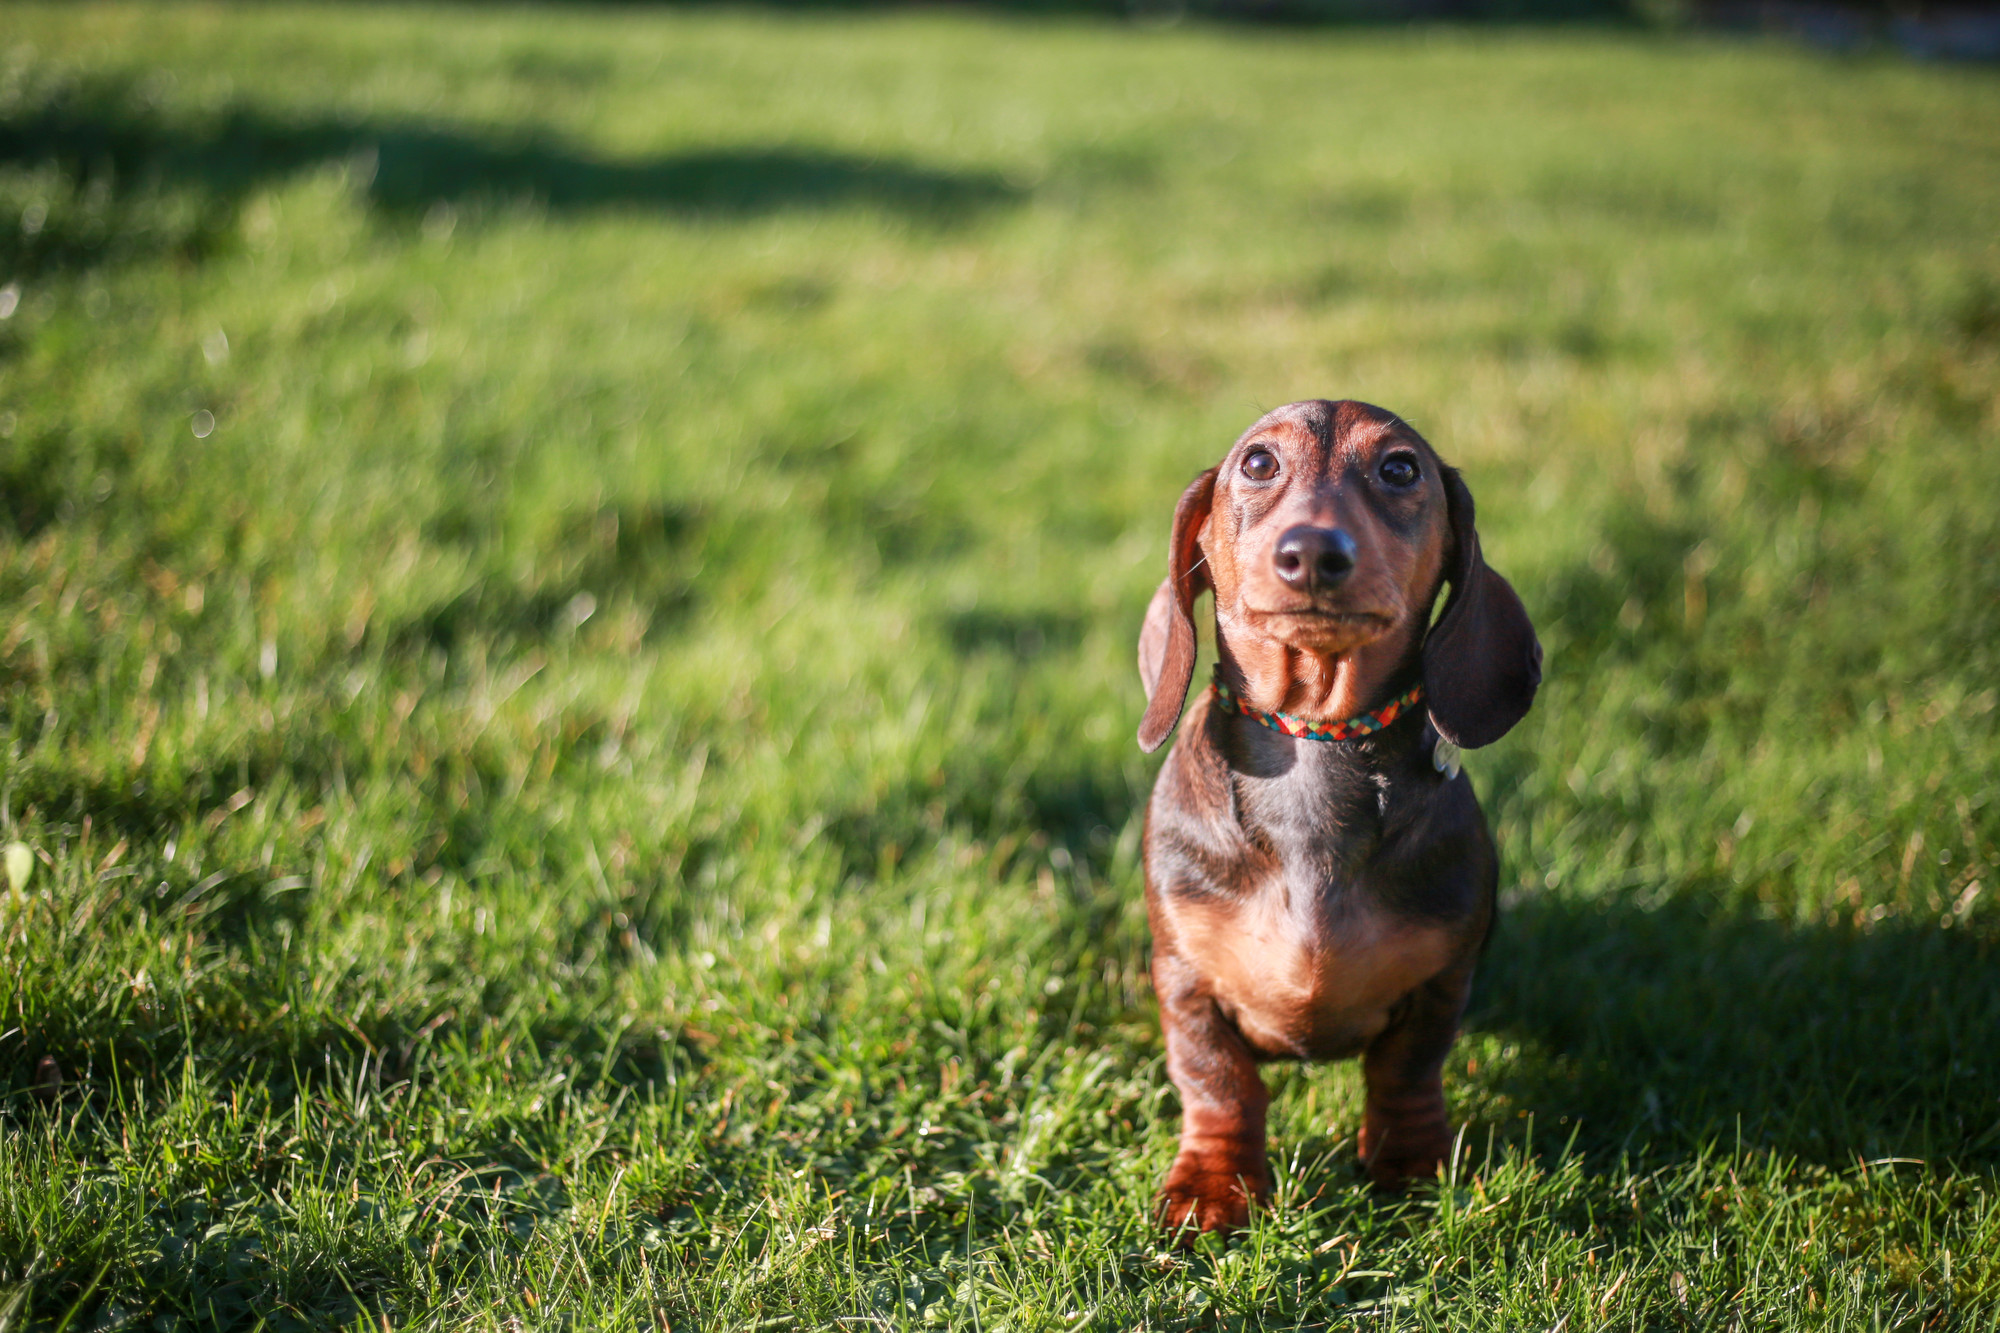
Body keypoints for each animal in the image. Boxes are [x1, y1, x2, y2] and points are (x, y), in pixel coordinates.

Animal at [1136, 400, 1536, 1232]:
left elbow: (1407, 1071)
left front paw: (1409, 1163)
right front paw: (1213, 1185)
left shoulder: (1440, 978)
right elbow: (1218, 1081)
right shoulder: (1185, 982)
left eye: (1400, 468)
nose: (1313, 553)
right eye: (1258, 463)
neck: (1316, 739)